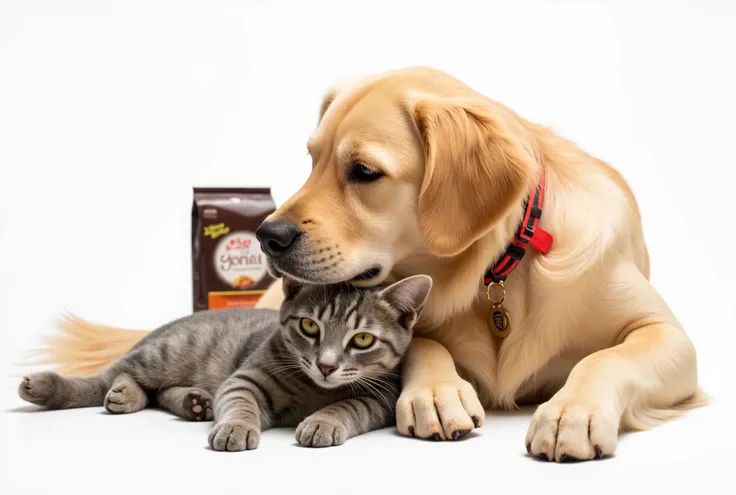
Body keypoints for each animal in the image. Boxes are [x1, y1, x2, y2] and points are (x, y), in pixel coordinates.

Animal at [17, 274, 432, 452]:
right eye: (309, 326)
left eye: (362, 339)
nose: (326, 366)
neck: (315, 389)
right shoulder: (246, 377)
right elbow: (239, 402)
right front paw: (235, 427)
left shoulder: (381, 399)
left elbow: (348, 406)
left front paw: (323, 421)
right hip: (164, 352)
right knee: (107, 376)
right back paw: (53, 387)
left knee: (153, 391)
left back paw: (180, 401)